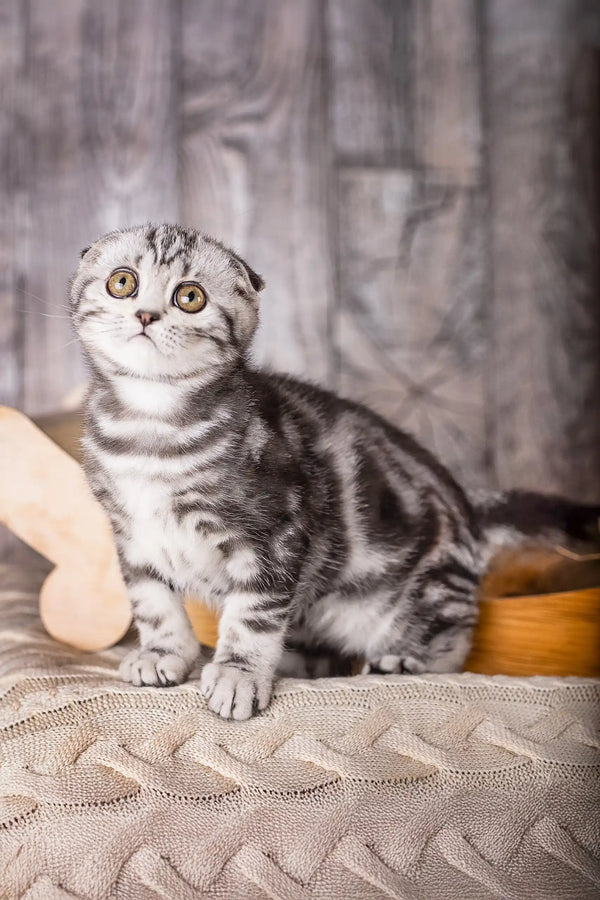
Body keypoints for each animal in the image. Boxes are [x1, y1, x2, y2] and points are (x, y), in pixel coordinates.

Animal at [71, 229, 600, 720]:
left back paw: (403, 662)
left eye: (189, 296)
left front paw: (238, 675)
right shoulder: (132, 538)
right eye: (123, 282)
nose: (146, 316)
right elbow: (152, 602)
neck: (151, 429)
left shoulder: (273, 535)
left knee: (452, 640)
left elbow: (252, 616)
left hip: (420, 590)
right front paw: (163, 654)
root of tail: (467, 505)